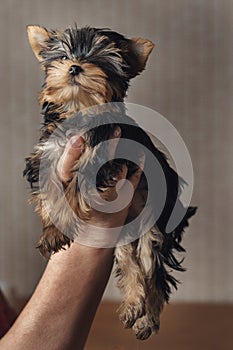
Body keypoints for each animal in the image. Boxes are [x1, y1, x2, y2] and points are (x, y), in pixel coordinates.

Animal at [23, 23, 196, 340]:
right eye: (63, 55)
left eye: (100, 60)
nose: (75, 67)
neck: (80, 110)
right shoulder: (47, 154)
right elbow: (49, 189)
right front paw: (52, 230)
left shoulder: (104, 157)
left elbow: (78, 184)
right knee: (130, 260)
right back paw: (133, 305)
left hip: (155, 220)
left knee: (152, 268)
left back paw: (146, 318)